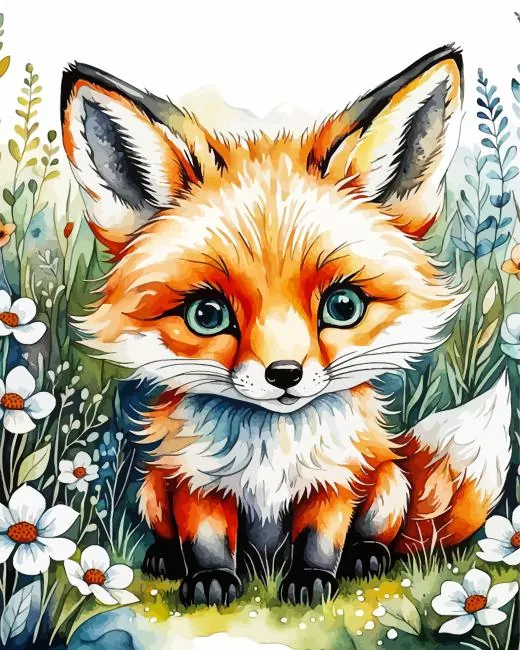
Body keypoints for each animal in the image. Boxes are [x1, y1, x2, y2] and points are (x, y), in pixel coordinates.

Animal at [60, 45, 512, 607]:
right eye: (206, 315)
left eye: (343, 306)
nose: (284, 375)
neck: (271, 451)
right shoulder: (195, 481)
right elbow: (206, 540)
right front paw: (210, 581)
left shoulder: (335, 480)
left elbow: (322, 538)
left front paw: (313, 581)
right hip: (152, 489)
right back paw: (166, 558)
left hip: (388, 483)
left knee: (382, 531)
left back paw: (366, 557)